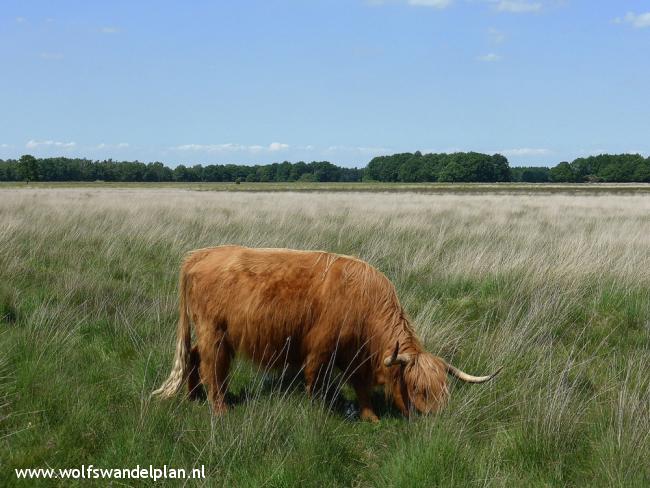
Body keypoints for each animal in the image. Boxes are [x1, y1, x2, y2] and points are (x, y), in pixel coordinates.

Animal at [152, 246, 496, 422]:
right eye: (419, 389)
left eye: (444, 389)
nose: (440, 420)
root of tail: (200, 254)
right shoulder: (320, 348)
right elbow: (314, 382)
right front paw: (319, 412)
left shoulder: (357, 356)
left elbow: (361, 387)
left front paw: (370, 417)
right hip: (213, 331)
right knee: (212, 366)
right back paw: (220, 409)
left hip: (212, 333)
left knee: (194, 357)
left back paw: (194, 397)